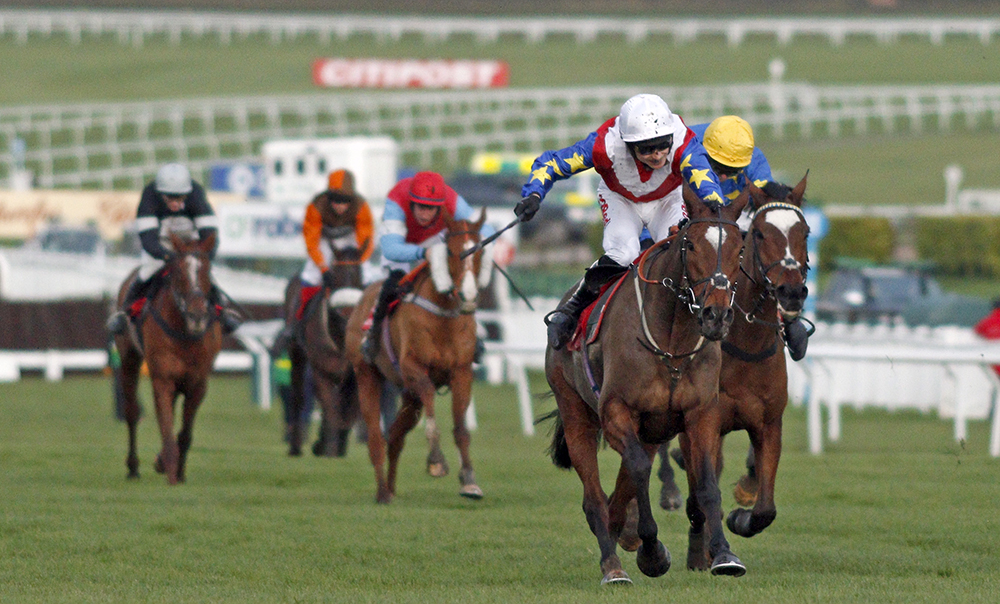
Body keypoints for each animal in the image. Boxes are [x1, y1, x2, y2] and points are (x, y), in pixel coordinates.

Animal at [114, 232, 223, 486]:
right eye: (180, 272)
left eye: (207, 270)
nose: (197, 315)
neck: (185, 332)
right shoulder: (162, 378)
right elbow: (166, 427)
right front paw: (171, 471)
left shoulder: (198, 383)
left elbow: (184, 432)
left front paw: (177, 471)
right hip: (129, 359)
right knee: (132, 412)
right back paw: (133, 467)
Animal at [276, 245, 366, 458]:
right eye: (336, 275)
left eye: (359, 275)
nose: (347, 315)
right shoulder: (320, 369)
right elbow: (330, 406)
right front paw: (329, 447)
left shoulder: (354, 373)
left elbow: (348, 411)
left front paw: (332, 444)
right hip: (296, 354)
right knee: (298, 396)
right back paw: (296, 446)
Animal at [344, 210, 492, 502]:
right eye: (451, 251)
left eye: (480, 250)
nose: (469, 295)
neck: (442, 317)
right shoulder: (413, 367)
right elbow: (431, 400)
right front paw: (436, 461)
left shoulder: (462, 372)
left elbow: (461, 429)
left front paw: (469, 481)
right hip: (366, 373)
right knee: (376, 437)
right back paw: (382, 492)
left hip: (408, 395)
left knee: (395, 435)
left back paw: (391, 488)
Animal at [548, 190, 752, 584]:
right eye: (691, 245)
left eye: (740, 249)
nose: (716, 315)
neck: (671, 342)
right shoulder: (616, 412)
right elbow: (641, 471)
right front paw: (652, 551)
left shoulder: (700, 414)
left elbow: (706, 483)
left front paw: (723, 554)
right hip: (576, 412)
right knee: (595, 497)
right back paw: (612, 566)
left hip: (651, 430)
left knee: (617, 493)